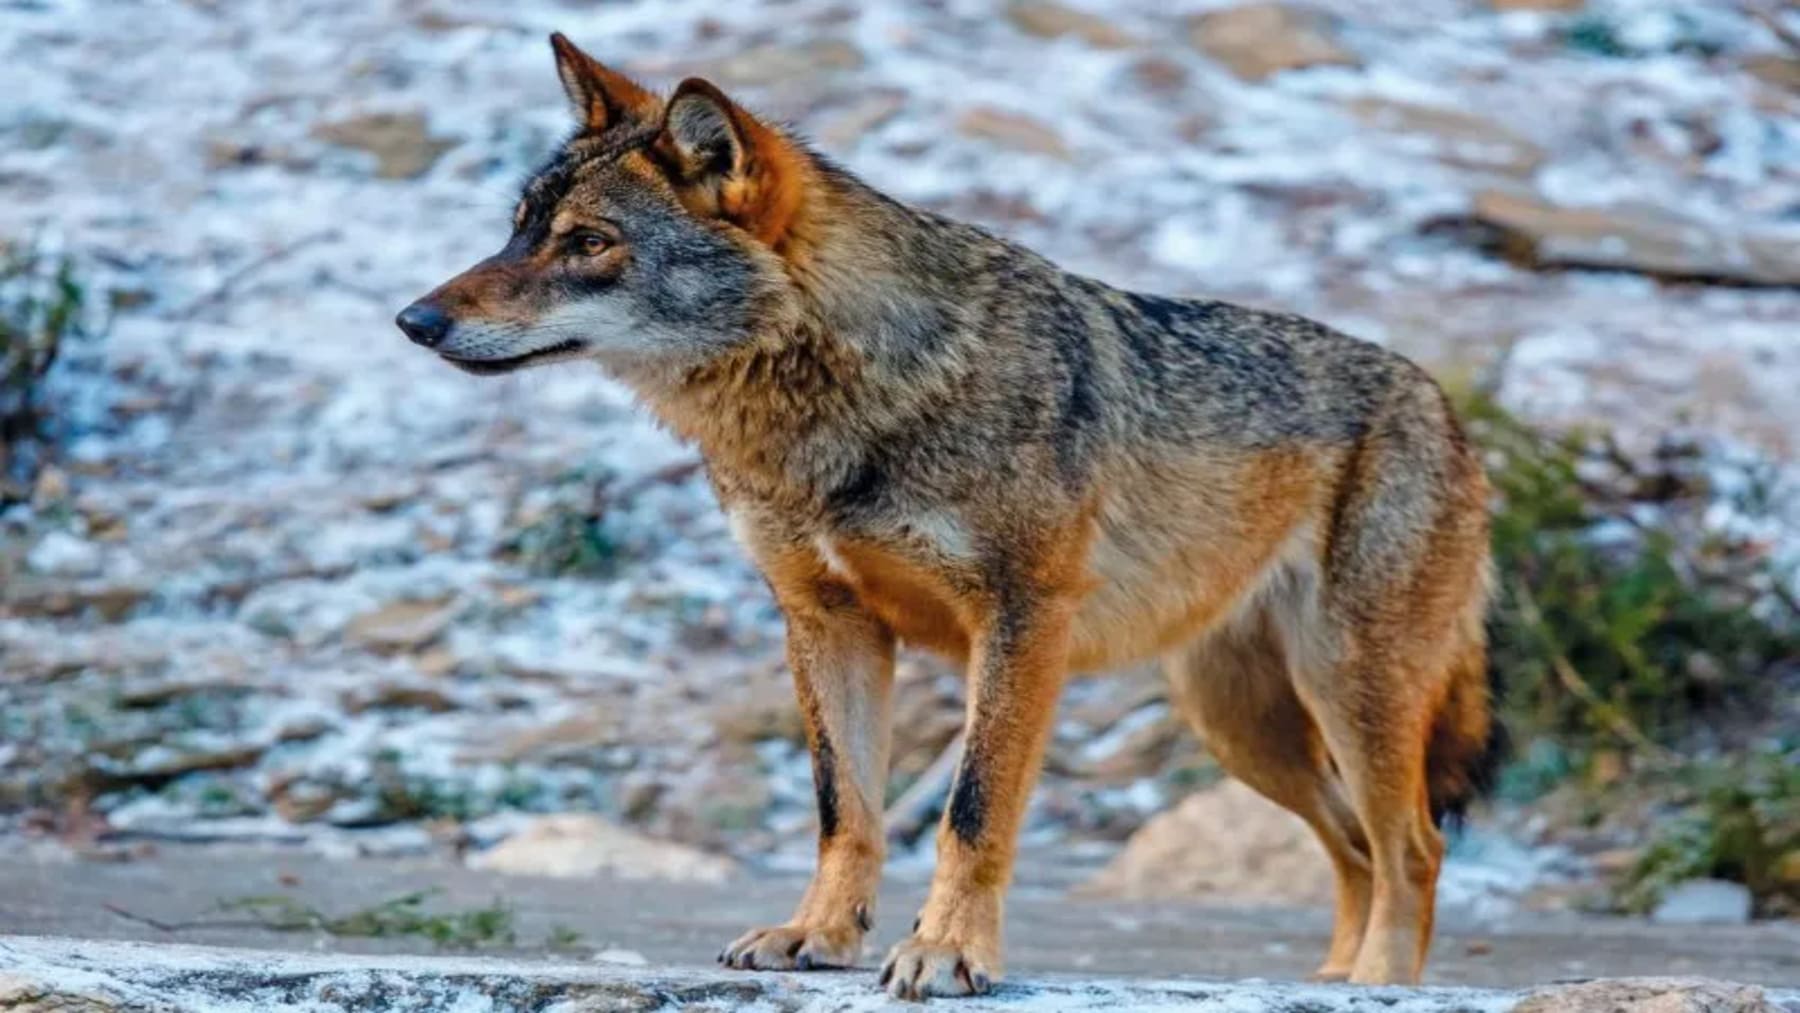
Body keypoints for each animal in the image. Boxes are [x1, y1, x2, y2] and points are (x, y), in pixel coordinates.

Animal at [397, 33, 1499, 999]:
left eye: (590, 244)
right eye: (518, 229)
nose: (414, 320)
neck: (842, 404)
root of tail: (1440, 402)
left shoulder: (1019, 621)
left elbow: (972, 810)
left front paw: (947, 952)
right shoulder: (826, 622)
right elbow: (844, 807)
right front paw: (819, 935)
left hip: (1345, 692)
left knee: (1412, 844)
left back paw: (1381, 982)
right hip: (1243, 726)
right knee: (1356, 845)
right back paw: (1337, 977)